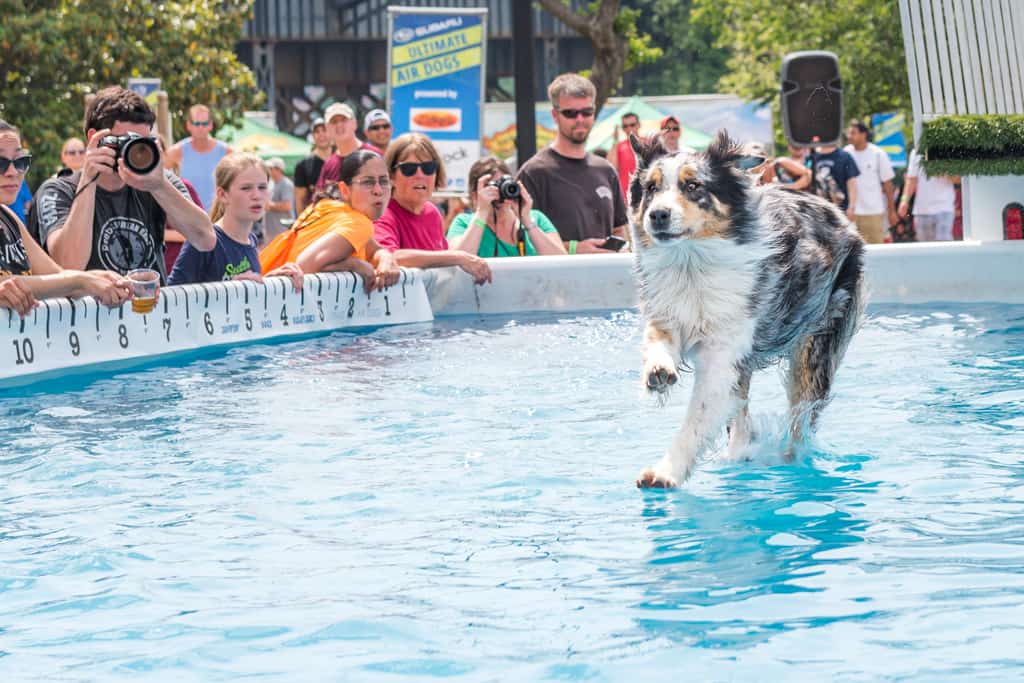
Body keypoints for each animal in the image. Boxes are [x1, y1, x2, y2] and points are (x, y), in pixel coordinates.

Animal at [630, 132, 864, 485]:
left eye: (693, 186)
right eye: (650, 188)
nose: (657, 214)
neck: (691, 263)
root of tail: (836, 210)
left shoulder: (724, 351)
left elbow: (698, 417)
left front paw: (665, 472)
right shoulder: (669, 311)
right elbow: (656, 340)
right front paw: (658, 370)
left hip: (817, 342)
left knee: (801, 415)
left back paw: (790, 459)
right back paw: (740, 453)